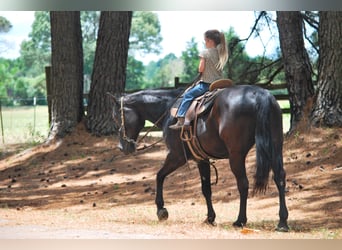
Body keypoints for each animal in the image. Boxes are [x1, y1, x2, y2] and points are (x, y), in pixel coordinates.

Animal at [111, 85, 288, 231]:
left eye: (118, 117)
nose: (122, 147)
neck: (168, 108)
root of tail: (260, 94)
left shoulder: (176, 156)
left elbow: (159, 176)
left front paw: (161, 210)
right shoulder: (201, 159)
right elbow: (206, 189)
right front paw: (210, 218)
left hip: (236, 156)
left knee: (243, 184)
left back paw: (240, 220)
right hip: (275, 147)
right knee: (279, 178)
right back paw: (282, 222)